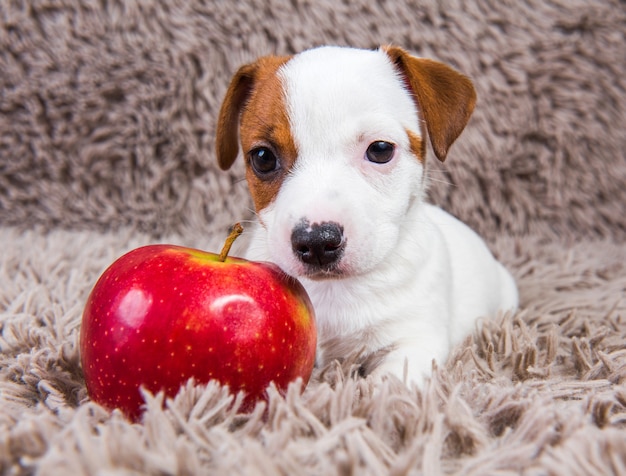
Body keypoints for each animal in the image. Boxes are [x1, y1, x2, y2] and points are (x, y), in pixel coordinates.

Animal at [214, 44, 516, 386]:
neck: (335, 290)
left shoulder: (414, 341)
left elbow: (386, 385)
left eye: (380, 149)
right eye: (263, 157)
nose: (317, 242)